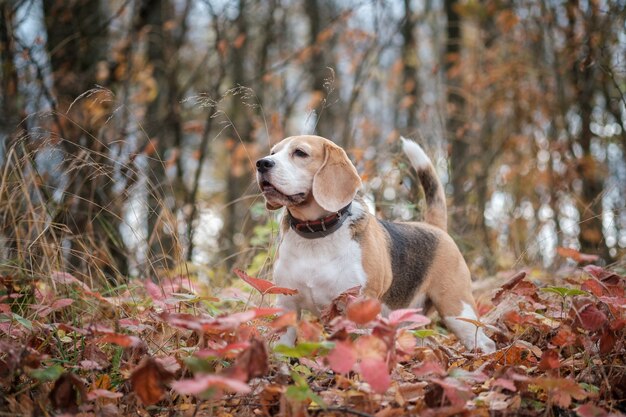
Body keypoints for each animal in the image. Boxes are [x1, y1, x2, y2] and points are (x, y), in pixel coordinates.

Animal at [256, 136, 494, 352]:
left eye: (300, 153)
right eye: (273, 152)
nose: (262, 163)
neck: (316, 235)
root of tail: (434, 227)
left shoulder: (359, 304)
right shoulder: (286, 305)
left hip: (457, 309)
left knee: (484, 340)